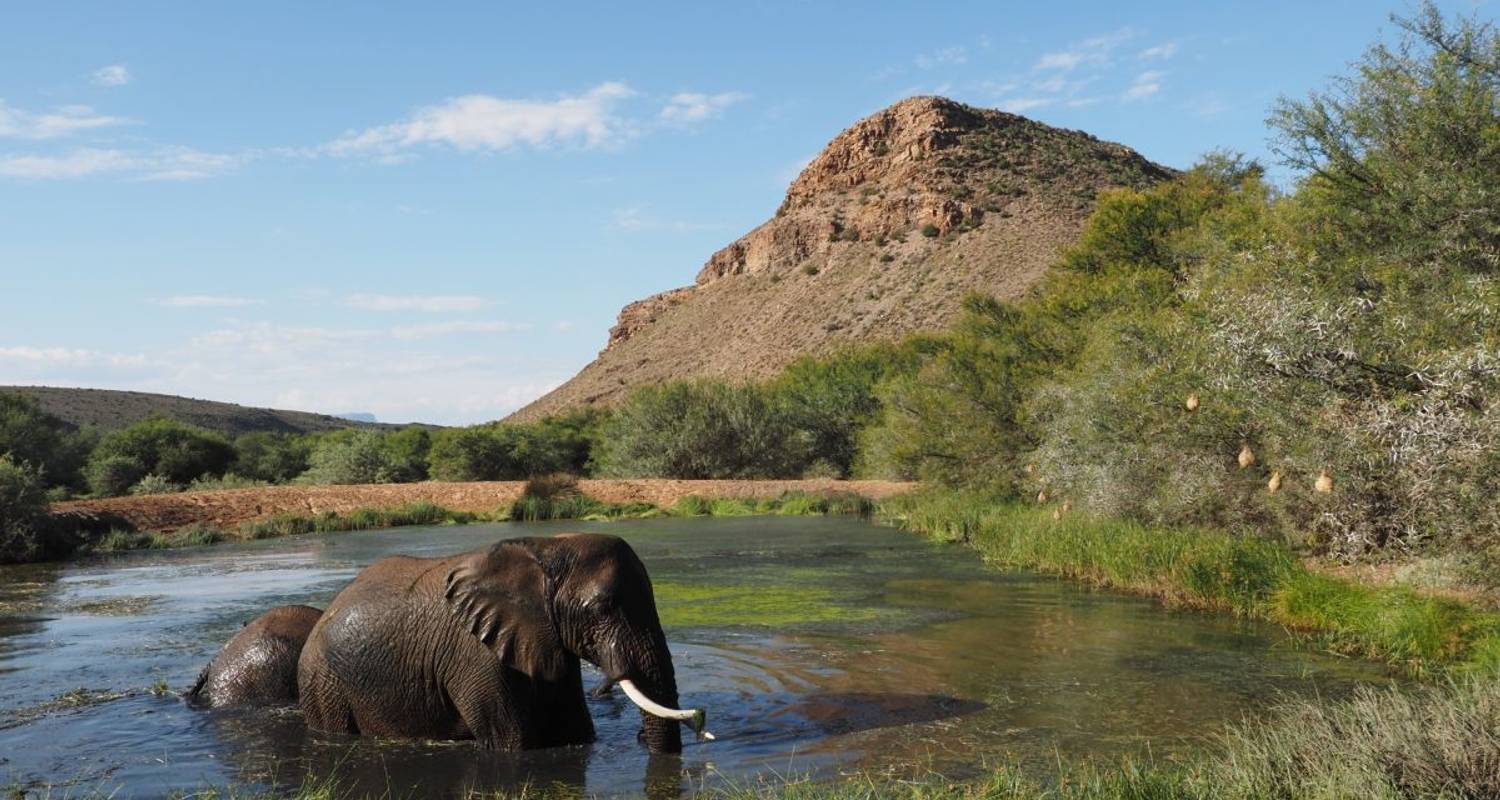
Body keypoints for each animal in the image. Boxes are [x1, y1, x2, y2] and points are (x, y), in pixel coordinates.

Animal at [298, 534, 708, 750]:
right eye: (603, 608)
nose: (639, 737)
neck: (547, 549)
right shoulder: (473, 655)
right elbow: (513, 741)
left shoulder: (545, 638)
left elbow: (576, 730)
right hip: (323, 683)